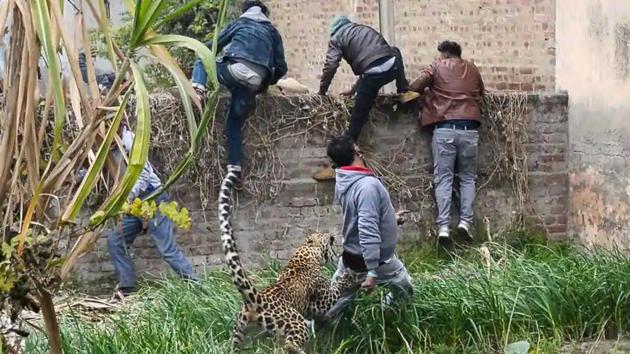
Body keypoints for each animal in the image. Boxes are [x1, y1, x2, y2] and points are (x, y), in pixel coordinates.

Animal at [217, 166, 356, 354]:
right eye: (325, 235)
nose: (332, 235)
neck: (306, 251)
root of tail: (255, 300)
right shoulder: (322, 300)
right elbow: (335, 289)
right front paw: (347, 278)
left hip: (240, 332)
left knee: (234, 346)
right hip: (295, 322)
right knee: (289, 344)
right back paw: (300, 349)